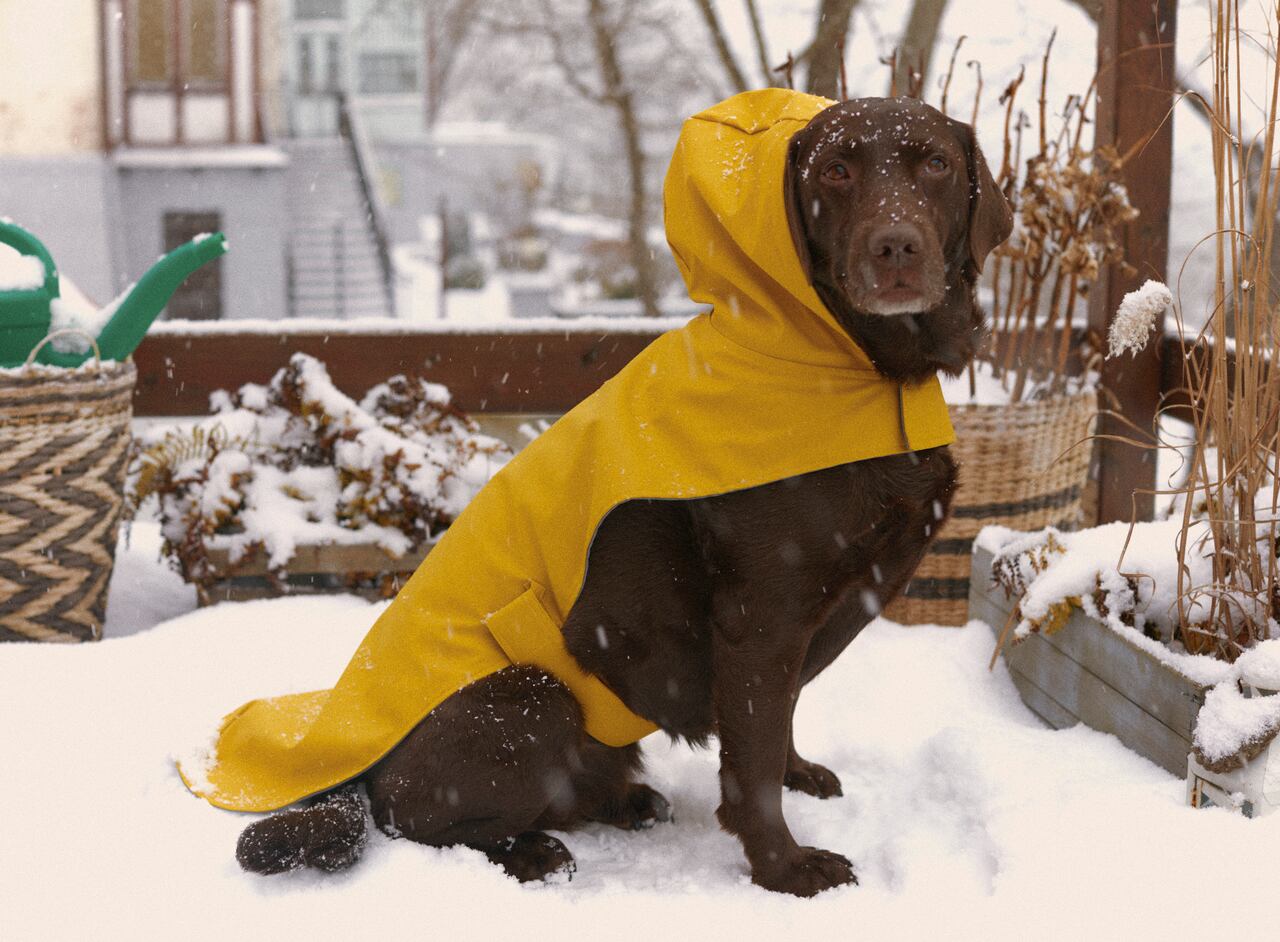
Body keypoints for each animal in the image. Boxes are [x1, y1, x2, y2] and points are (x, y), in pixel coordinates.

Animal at [232, 95, 1008, 895]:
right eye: (837, 170)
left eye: (936, 164)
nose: (896, 247)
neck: (849, 372)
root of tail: (359, 774)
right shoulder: (761, 613)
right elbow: (753, 759)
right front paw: (785, 867)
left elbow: (783, 713)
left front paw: (799, 777)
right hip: (535, 697)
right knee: (415, 825)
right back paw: (531, 852)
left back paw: (628, 801)